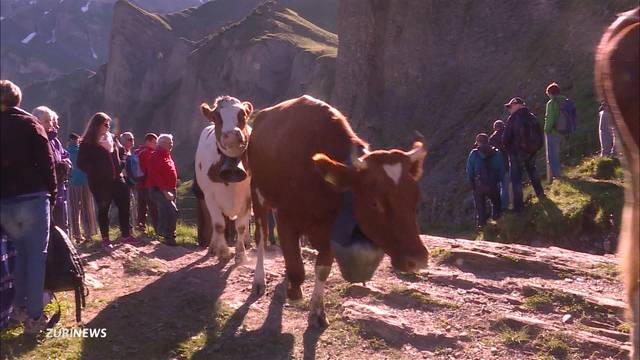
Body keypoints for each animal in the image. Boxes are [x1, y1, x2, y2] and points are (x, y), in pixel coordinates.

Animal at [196, 95, 254, 262]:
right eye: (216, 117)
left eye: (243, 114)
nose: (232, 134)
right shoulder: (210, 196)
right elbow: (218, 225)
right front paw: (223, 252)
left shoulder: (248, 196)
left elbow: (241, 226)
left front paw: (241, 254)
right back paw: (212, 248)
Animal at [249, 95, 430, 326]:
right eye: (375, 202)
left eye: (415, 198)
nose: (418, 258)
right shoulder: (285, 217)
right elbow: (297, 267)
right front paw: (295, 293)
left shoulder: (329, 231)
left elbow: (322, 270)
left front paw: (317, 312)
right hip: (257, 193)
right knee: (261, 236)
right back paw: (259, 280)